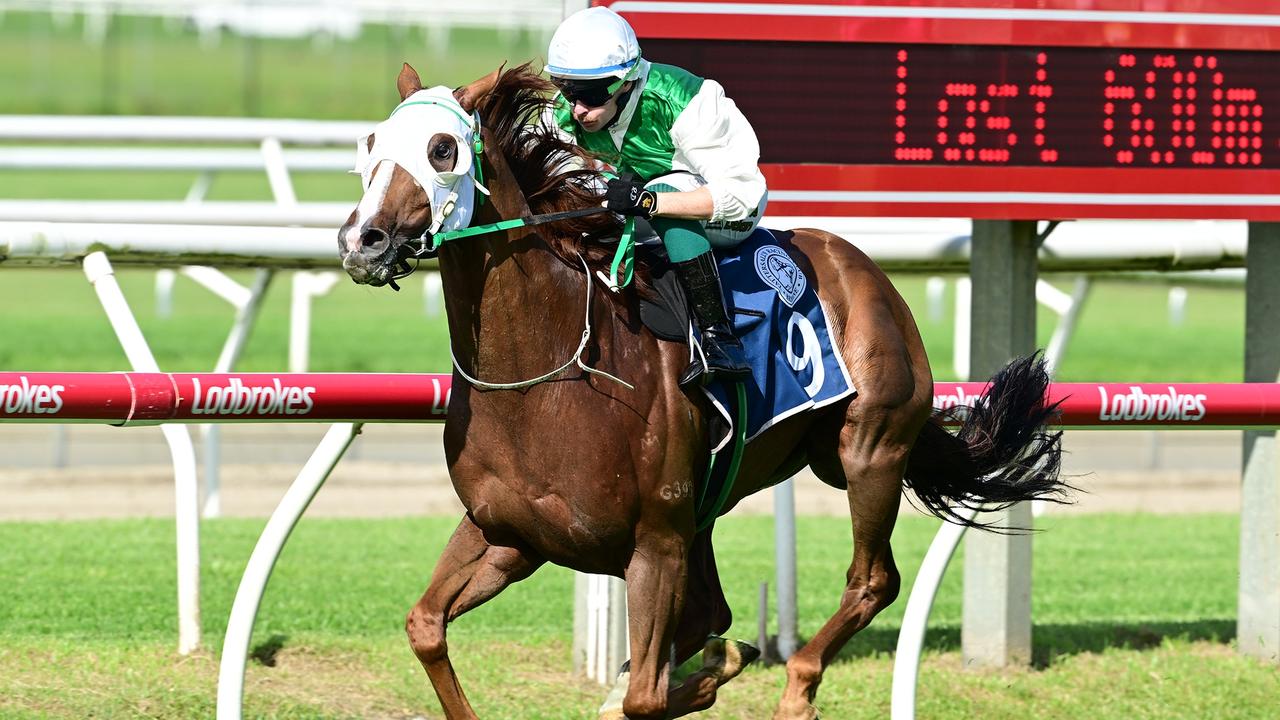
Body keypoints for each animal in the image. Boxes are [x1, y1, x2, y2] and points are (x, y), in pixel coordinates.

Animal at [335, 63, 1064, 717]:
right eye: (371, 143)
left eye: (442, 148)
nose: (361, 240)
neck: (543, 378)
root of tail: (863, 268)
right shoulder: (509, 534)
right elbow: (425, 627)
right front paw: (706, 666)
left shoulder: (654, 544)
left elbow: (646, 697)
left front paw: (699, 678)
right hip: (733, 501)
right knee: (722, 612)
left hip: (868, 450)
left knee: (872, 581)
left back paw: (796, 686)